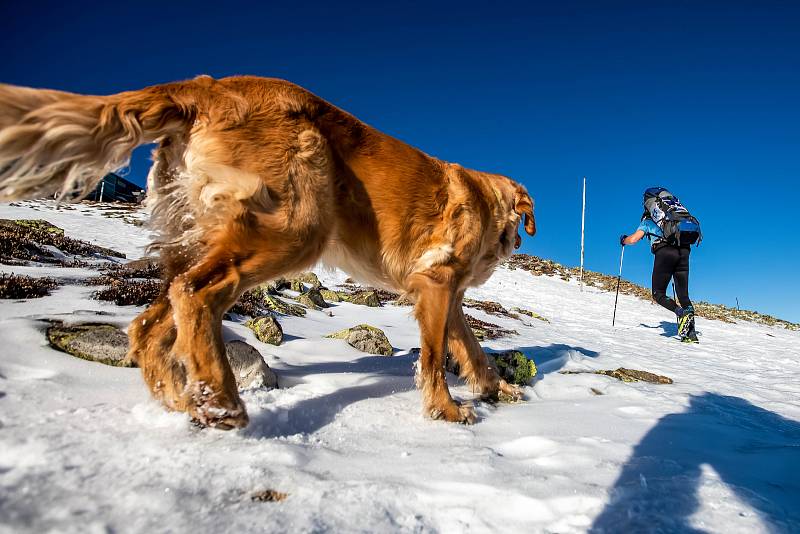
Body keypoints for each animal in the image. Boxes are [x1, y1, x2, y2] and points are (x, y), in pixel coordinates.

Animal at [1, 75, 536, 430]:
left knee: (152, 320)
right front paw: (445, 410)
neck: (487, 200)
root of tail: (206, 87)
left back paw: (183, 400)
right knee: (196, 293)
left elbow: (472, 349)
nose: (514, 243)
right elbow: (434, 356)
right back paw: (222, 403)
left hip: (202, 238)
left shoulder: (449, 295)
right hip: (296, 228)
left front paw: (497, 389)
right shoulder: (436, 282)